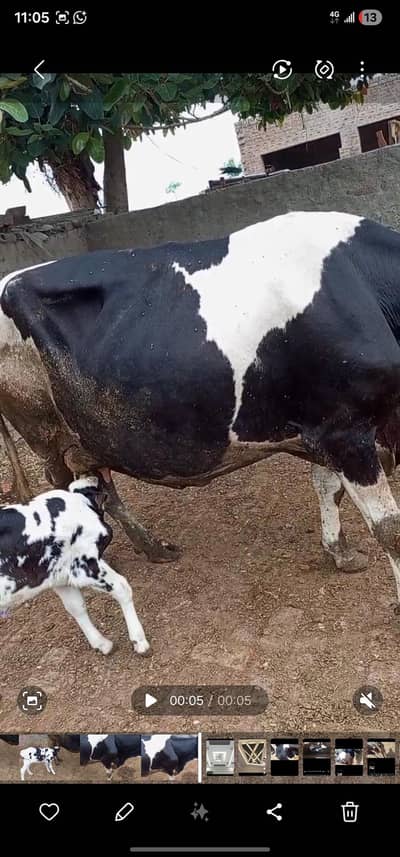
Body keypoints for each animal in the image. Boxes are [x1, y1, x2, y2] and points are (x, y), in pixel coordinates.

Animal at [0, 476, 149, 656]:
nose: (93, 477)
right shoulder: (78, 568)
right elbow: (120, 588)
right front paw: (135, 641)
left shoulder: (63, 573)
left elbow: (77, 605)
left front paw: (104, 643)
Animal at [2, 211, 400, 626]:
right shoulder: (346, 430)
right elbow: (389, 528)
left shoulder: (324, 425)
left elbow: (328, 488)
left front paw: (339, 552)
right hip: (44, 431)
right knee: (59, 487)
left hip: (92, 435)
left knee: (102, 489)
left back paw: (155, 548)